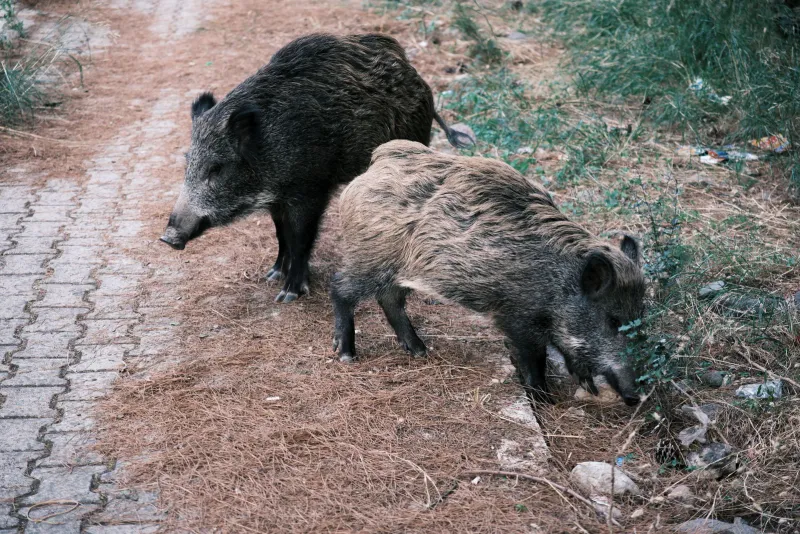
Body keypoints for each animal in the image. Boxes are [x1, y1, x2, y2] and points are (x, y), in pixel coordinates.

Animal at [160, 33, 472, 303]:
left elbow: (300, 238)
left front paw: (288, 295)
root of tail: (419, 79)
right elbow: (281, 233)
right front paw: (273, 274)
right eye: (188, 162)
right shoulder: (277, 198)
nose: (167, 238)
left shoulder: (309, 189)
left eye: (216, 168)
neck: (271, 146)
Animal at [331, 140, 646, 406]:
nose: (636, 396)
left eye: (640, 316)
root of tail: (377, 163)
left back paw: (420, 350)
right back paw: (347, 355)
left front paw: (587, 386)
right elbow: (534, 358)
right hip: (368, 257)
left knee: (389, 299)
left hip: (397, 269)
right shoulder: (516, 316)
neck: (558, 282)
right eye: (613, 320)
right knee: (341, 289)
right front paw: (544, 400)